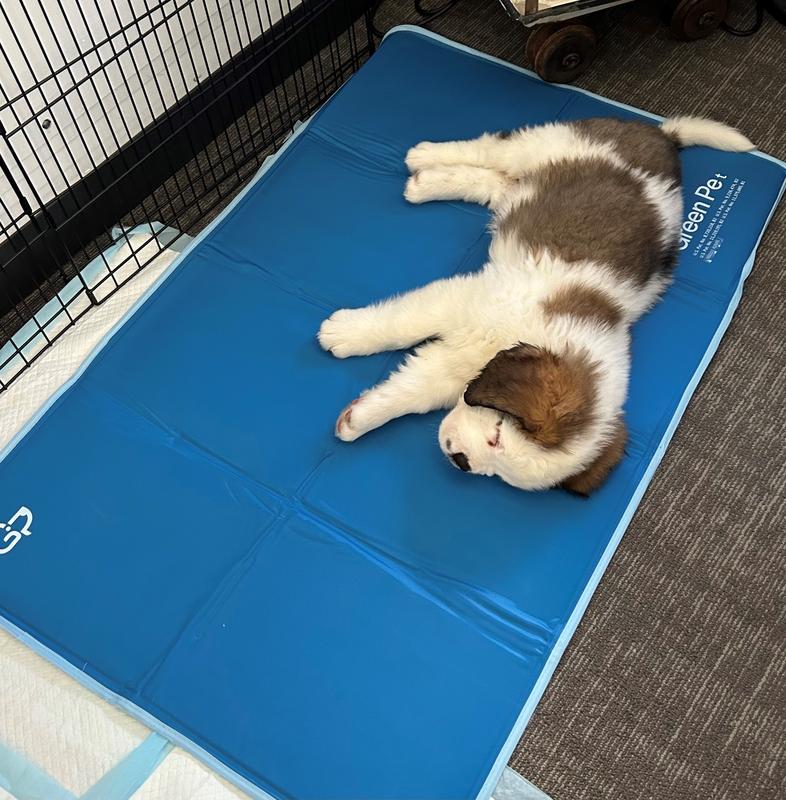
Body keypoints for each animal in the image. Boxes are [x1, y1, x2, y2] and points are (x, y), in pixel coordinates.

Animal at [316, 115, 748, 494]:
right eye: (497, 435)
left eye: (500, 474)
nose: (461, 462)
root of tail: (664, 136)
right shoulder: (464, 301)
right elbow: (401, 323)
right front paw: (343, 333)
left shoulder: (459, 366)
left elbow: (412, 391)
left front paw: (357, 419)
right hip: (545, 142)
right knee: (492, 148)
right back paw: (424, 157)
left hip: (526, 181)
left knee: (498, 183)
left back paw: (426, 181)